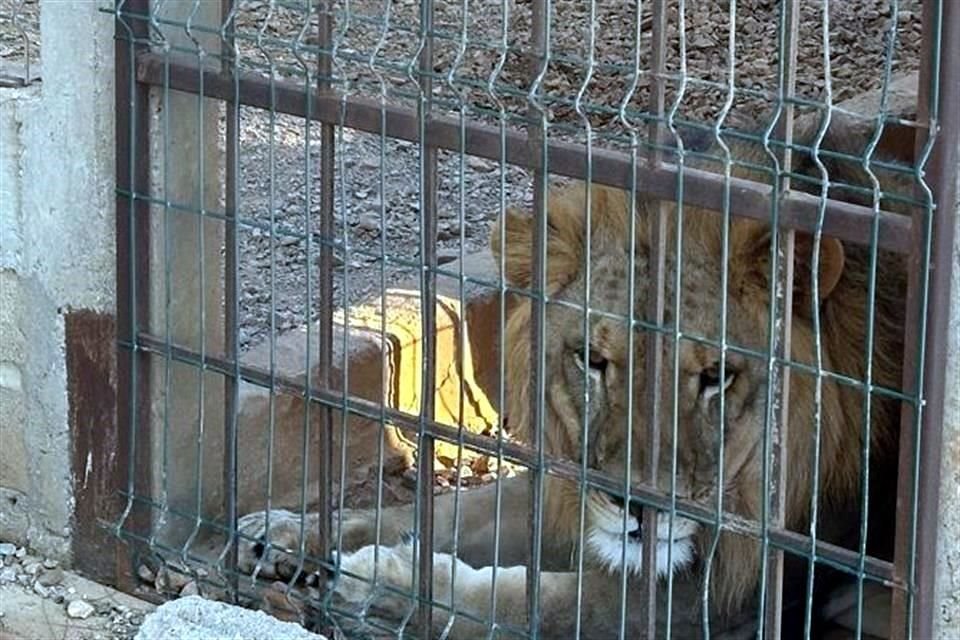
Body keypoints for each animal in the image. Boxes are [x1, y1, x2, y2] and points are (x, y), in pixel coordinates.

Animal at [236, 121, 912, 640]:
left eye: (716, 376)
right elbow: (448, 510)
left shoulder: (733, 598)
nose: (636, 507)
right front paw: (288, 531)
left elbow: (544, 601)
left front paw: (385, 583)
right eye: (593, 360)